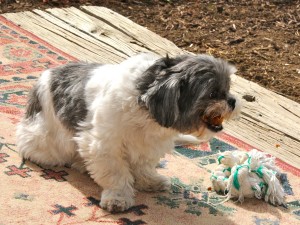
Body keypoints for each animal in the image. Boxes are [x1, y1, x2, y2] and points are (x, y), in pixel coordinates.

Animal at [16, 52, 241, 213]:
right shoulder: (103, 145)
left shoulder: (148, 145)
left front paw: (148, 181)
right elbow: (116, 173)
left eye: (228, 88)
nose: (232, 101)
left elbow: (142, 166)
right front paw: (118, 197)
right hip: (46, 144)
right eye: (212, 94)